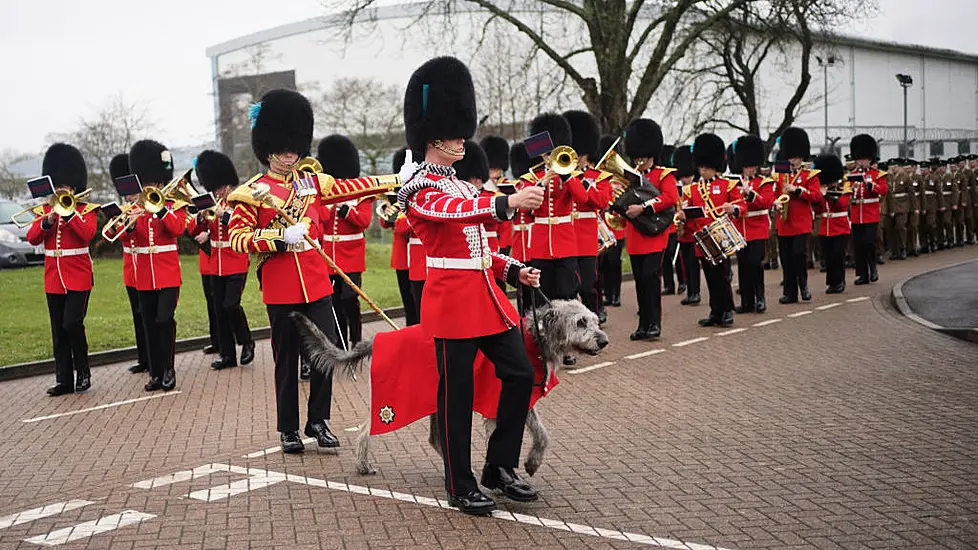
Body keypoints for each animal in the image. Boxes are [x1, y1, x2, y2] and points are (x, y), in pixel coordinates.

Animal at [290, 300, 608, 476]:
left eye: (594, 319)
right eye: (580, 322)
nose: (603, 341)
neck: (533, 339)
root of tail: (378, 339)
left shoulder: (521, 402)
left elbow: (542, 435)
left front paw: (528, 463)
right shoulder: (497, 405)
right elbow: (507, 437)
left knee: (436, 439)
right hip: (394, 403)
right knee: (367, 431)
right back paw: (363, 464)